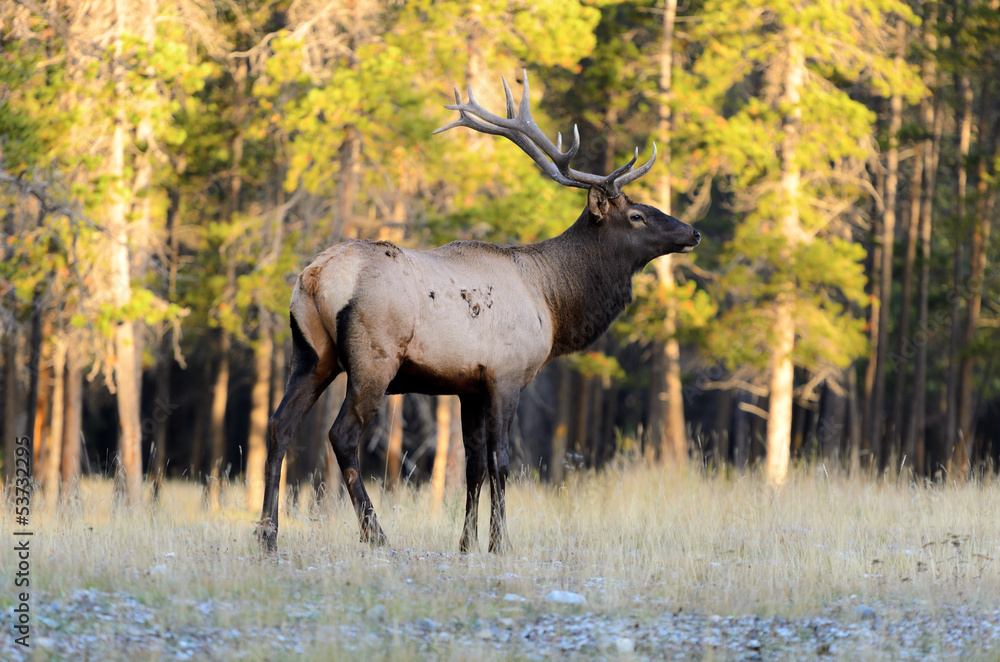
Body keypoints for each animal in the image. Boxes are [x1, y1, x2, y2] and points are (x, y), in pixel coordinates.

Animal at [258, 73, 700, 554]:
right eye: (637, 215)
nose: (692, 231)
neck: (552, 302)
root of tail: (315, 277)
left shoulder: (467, 385)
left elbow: (472, 466)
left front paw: (467, 543)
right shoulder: (506, 375)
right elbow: (500, 461)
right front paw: (499, 542)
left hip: (310, 355)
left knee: (279, 425)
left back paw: (267, 534)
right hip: (372, 361)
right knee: (342, 436)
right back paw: (375, 534)